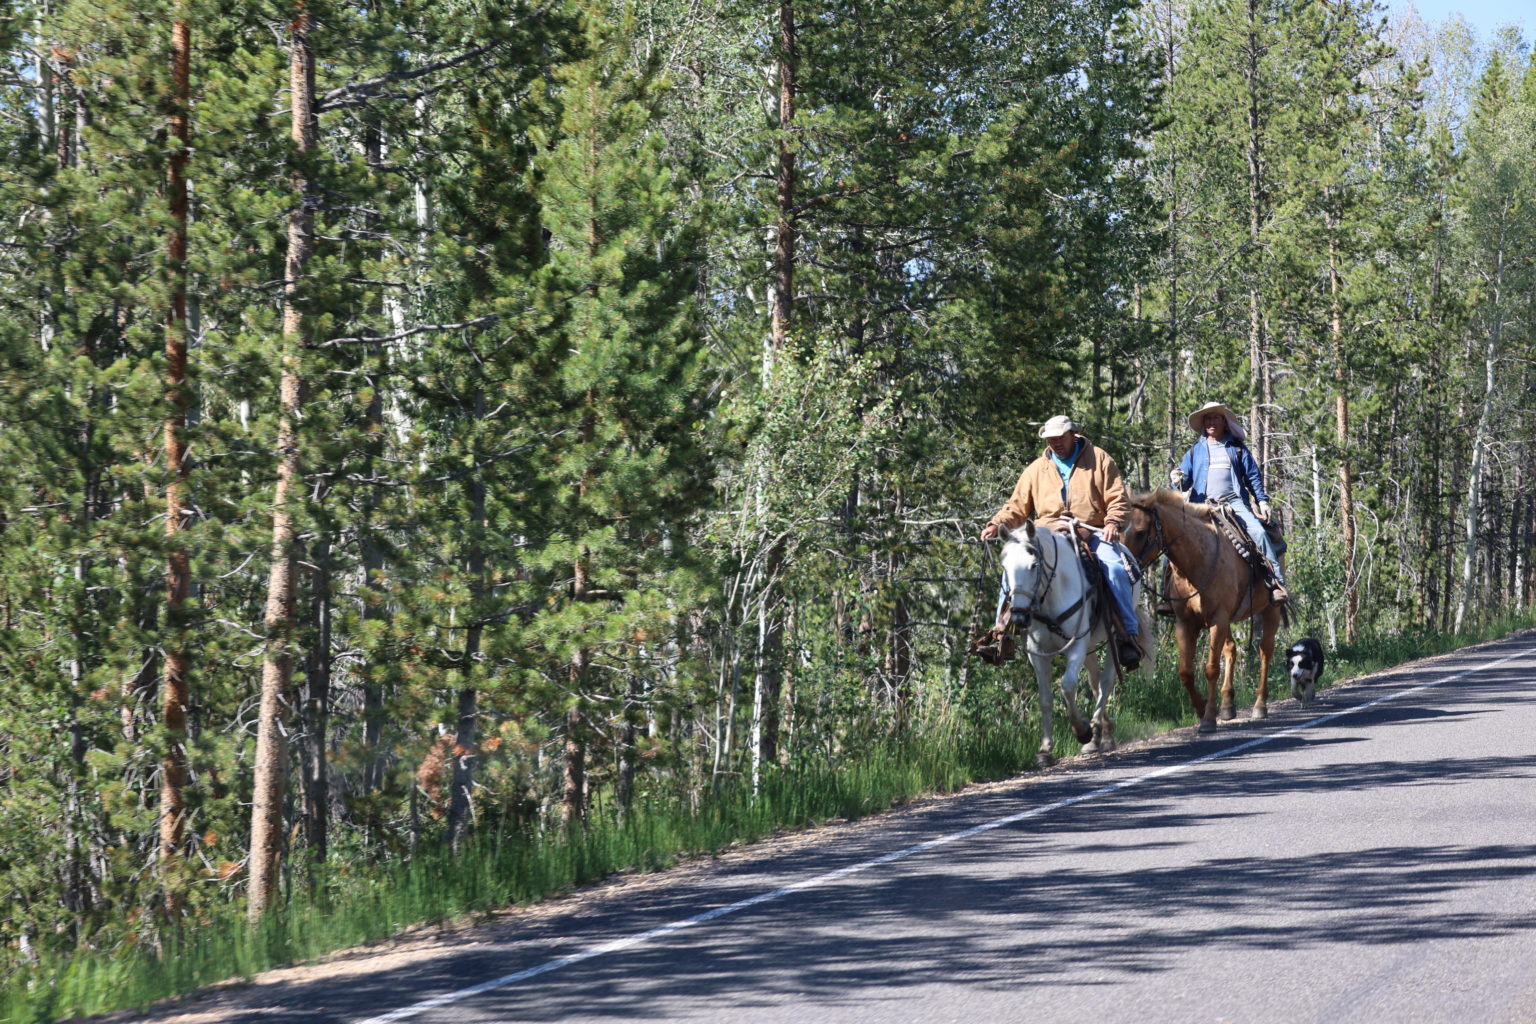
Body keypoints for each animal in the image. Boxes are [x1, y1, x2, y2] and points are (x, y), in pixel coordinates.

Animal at [998, 520, 1136, 765]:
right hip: (1090, 647)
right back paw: (1102, 734)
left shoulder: (1077, 644)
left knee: (1105, 682)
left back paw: (1098, 732)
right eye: (1004, 567)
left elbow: (1068, 685)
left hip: (1111, 640)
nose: (1019, 617)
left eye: (1034, 565)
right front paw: (1045, 750)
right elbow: (1045, 698)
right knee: (1095, 681)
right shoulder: (1037, 652)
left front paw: (1082, 730)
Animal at [1120, 489, 1283, 732]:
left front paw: (1207, 718)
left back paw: (1260, 705)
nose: (1125, 569)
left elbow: (1211, 668)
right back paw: (1227, 705)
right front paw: (1201, 708)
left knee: (1265, 651)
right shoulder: (1186, 623)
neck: (1196, 561)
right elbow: (1186, 672)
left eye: (1140, 533)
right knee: (1231, 649)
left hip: (1270, 610)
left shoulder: (1217, 619)